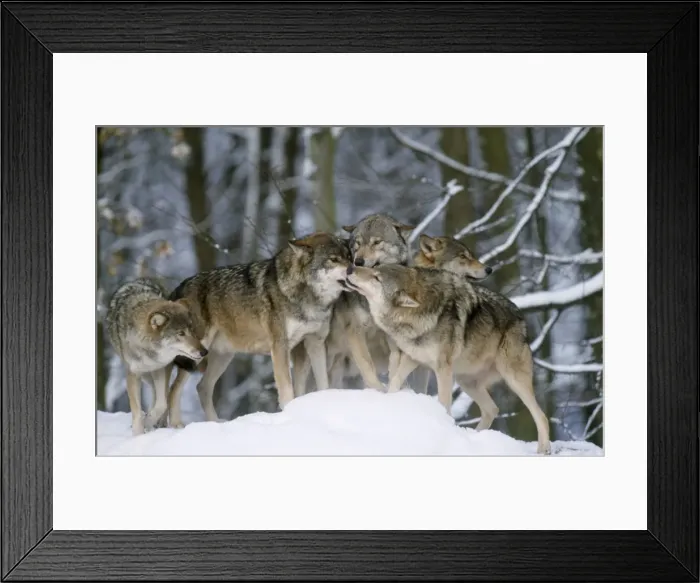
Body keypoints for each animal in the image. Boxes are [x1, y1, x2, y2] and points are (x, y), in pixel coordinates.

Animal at [104, 278, 208, 435]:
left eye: (193, 331)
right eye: (181, 333)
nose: (204, 352)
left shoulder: (161, 368)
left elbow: (162, 403)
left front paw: (148, 422)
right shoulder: (133, 374)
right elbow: (137, 411)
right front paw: (139, 433)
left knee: (164, 394)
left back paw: (160, 423)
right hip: (146, 377)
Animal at [165, 232, 352, 425]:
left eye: (349, 257)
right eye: (333, 259)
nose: (353, 269)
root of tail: (178, 288)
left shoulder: (314, 343)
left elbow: (322, 383)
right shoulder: (280, 346)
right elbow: (286, 388)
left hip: (222, 357)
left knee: (202, 387)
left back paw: (216, 422)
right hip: (196, 354)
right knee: (174, 390)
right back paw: (177, 425)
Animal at [291, 213, 416, 393]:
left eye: (376, 242)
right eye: (357, 243)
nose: (358, 262)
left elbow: (395, 363)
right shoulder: (355, 331)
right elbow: (367, 366)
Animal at [345, 263, 551, 454]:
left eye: (377, 278)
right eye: (374, 268)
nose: (349, 269)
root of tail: (521, 318)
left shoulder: (442, 368)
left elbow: (444, 401)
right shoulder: (413, 357)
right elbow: (395, 380)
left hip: (513, 379)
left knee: (541, 416)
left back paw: (543, 449)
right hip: (466, 381)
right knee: (492, 409)